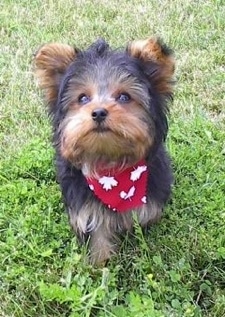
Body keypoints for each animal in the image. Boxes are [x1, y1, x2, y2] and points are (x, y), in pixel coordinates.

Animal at [34, 36, 175, 264]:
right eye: (83, 98)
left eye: (124, 97)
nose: (98, 112)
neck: (109, 163)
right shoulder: (86, 209)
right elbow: (98, 234)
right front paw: (100, 263)